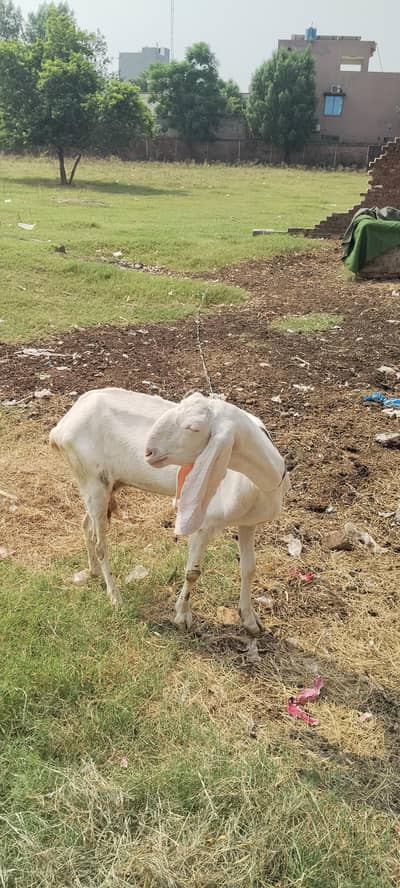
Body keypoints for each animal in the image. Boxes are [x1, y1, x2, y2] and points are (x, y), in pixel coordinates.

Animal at [50, 388, 290, 636]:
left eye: (194, 427)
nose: (149, 452)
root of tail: (61, 427)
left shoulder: (248, 523)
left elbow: (249, 568)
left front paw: (250, 619)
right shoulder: (204, 523)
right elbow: (192, 572)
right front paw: (182, 616)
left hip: (102, 484)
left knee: (86, 525)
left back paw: (94, 572)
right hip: (92, 480)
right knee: (100, 545)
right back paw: (115, 597)